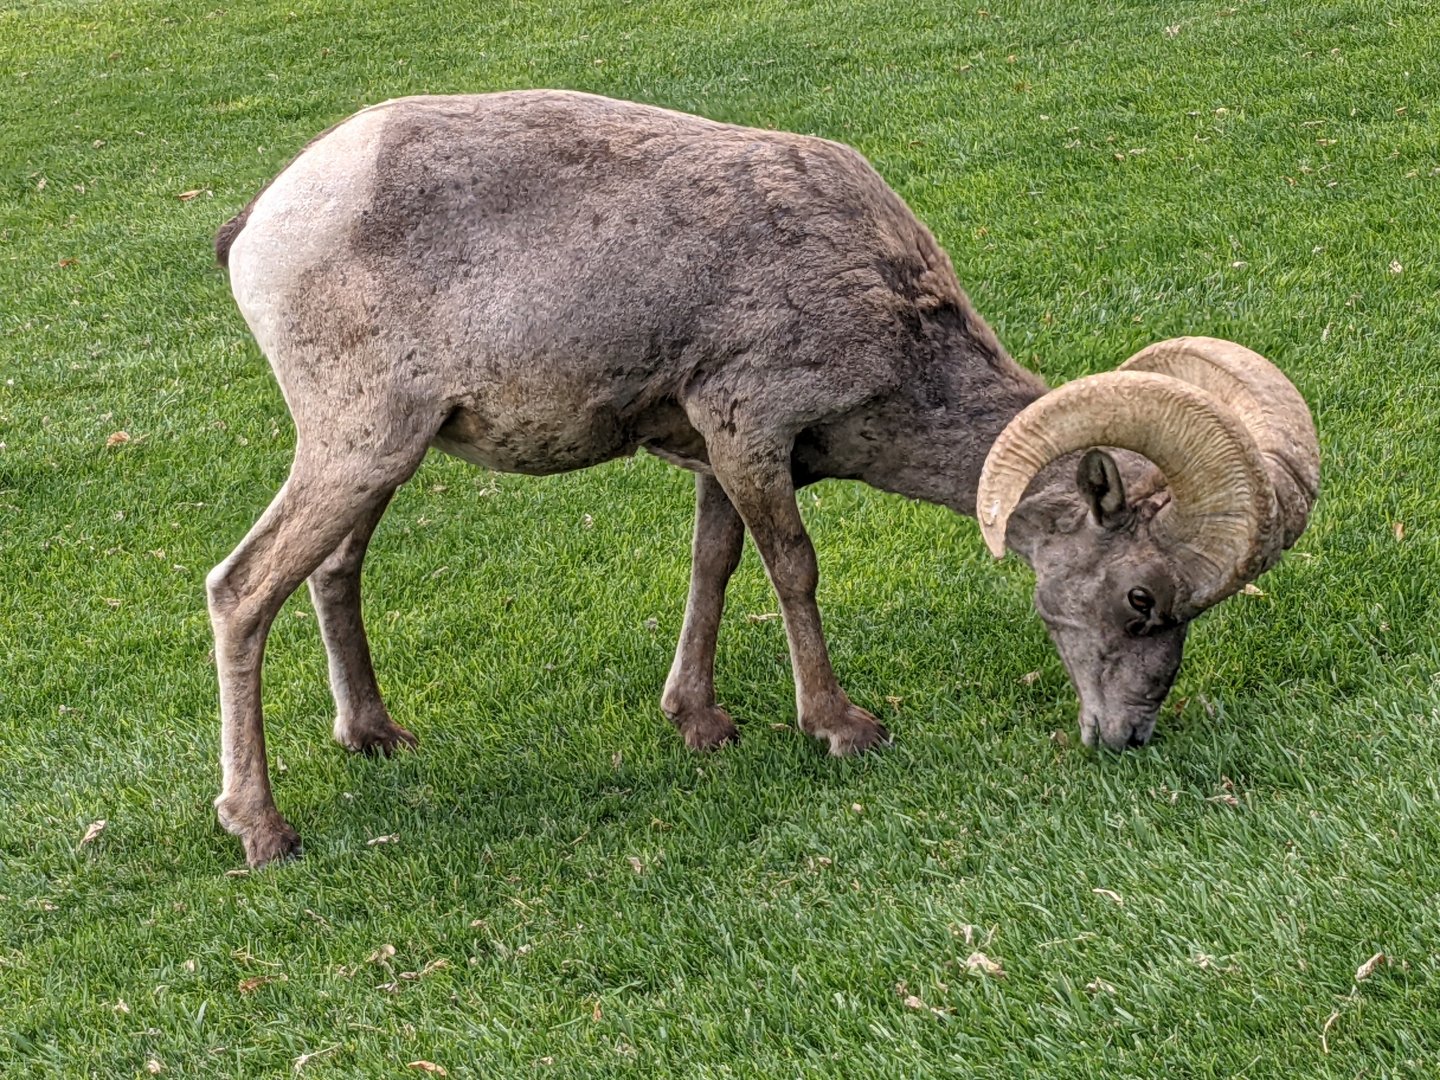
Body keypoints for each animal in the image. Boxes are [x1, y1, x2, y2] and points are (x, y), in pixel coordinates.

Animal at [210, 90, 1319, 866]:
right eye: (1141, 599)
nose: (1127, 735)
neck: (887, 313)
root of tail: (263, 224)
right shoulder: (751, 433)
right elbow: (793, 569)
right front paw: (840, 728)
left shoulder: (720, 454)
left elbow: (715, 568)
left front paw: (700, 725)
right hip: (357, 446)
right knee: (241, 591)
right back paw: (264, 832)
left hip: (380, 459)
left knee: (332, 571)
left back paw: (375, 737)